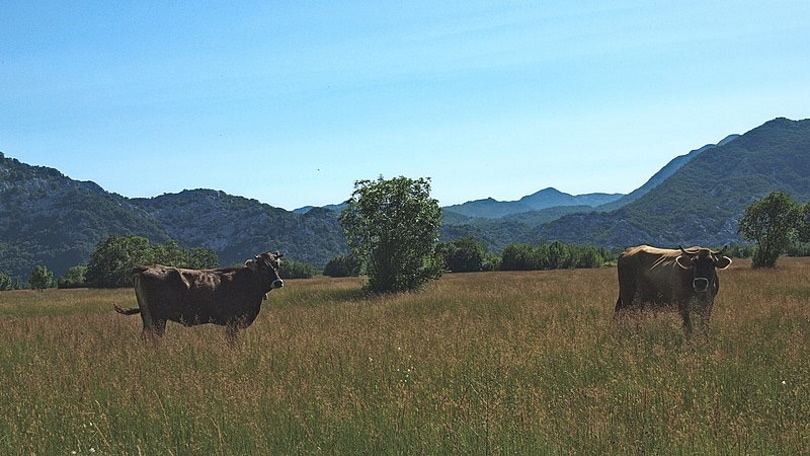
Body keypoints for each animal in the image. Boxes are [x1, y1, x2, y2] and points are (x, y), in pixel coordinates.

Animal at [113, 251, 284, 344]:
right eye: (263, 267)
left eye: (277, 265)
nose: (278, 281)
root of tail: (148, 267)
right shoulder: (233, 322)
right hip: (157, 318)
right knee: (153, 338)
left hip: (149, 318)